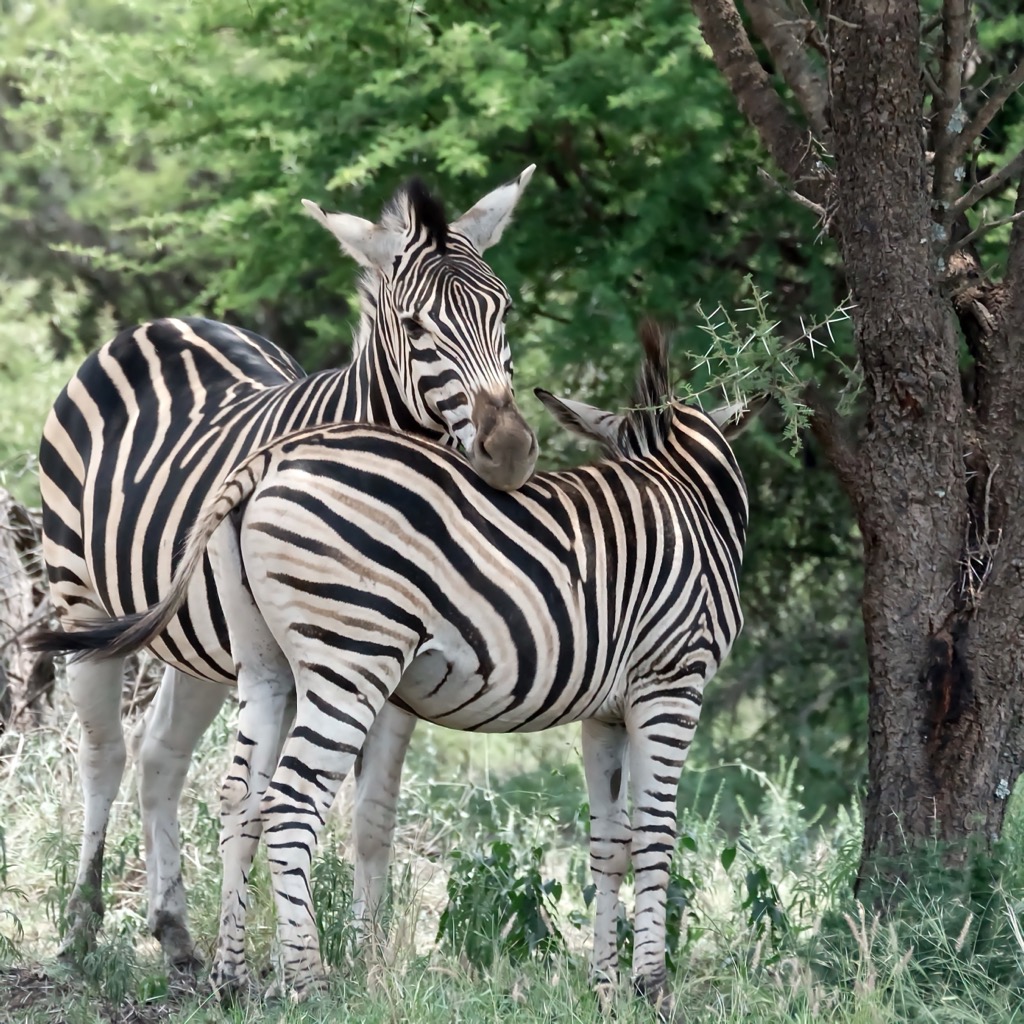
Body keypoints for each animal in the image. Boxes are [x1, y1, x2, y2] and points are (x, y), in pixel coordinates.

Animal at [36, 163, 540, 970]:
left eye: (503, 311)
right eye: (415, 327)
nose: (512, 451)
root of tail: (163, 323)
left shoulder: (391, 667)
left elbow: (370, 814)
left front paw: (367, 959)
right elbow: (266, 795)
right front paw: (281, 956)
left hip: (200, 642)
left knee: (160, 753)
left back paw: (175, 930)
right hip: (81, 602)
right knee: (105, 755)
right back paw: (82, 926)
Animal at [36, 321, 749, 1015]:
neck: (683, 493)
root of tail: (269, 457)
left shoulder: (605, 713)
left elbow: (608, 845)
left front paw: (604, 987)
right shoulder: (671, 685)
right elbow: (654, 836)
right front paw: (651, 987)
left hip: (264, 664)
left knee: (238, 795)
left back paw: (228, 978)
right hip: (348, 658)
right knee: (280, 803)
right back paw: (308, 985)